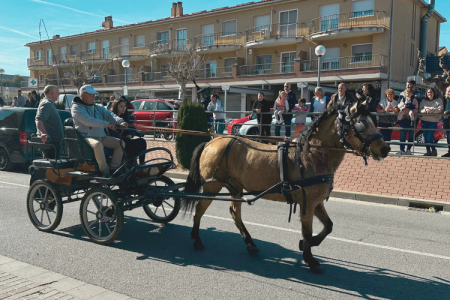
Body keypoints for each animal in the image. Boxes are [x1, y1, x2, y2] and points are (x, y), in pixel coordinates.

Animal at [181, 99, 388, 274]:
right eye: (361, 123)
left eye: (373, 120)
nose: (385, 149)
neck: (311, 155)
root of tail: (211, 141)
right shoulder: (307, 203)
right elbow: (307, 231)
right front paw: (310, 259)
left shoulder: (317, 202)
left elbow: (328, 226)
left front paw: (308, 244)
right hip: (212, 186)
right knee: (200, 209)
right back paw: (197, 240)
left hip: (235, 188)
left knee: (234, 212)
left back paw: (250, 243)